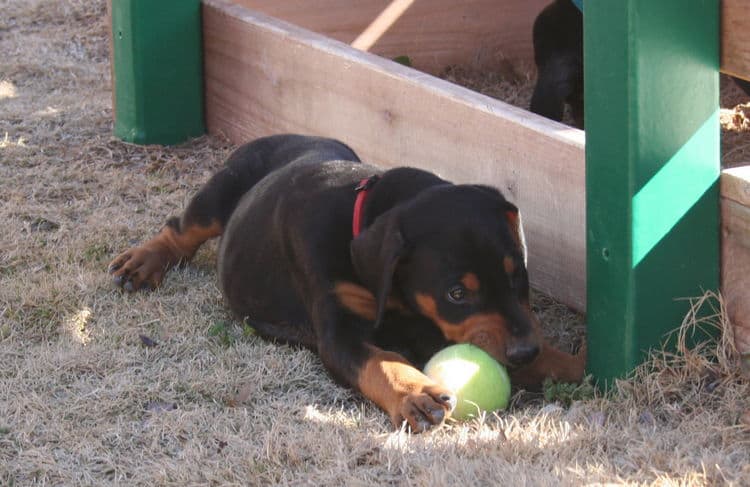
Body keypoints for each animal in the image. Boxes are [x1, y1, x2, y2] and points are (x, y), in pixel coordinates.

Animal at [108, 133, 584, 430]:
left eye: (518, 276)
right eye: (457, 293)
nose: (524, 352)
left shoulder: (428, 321)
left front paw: (572, 363)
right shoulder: (338, 329)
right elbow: (380, 360)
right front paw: (417, 394)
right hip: (224, 187)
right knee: (182, 227)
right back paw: (142, 263)